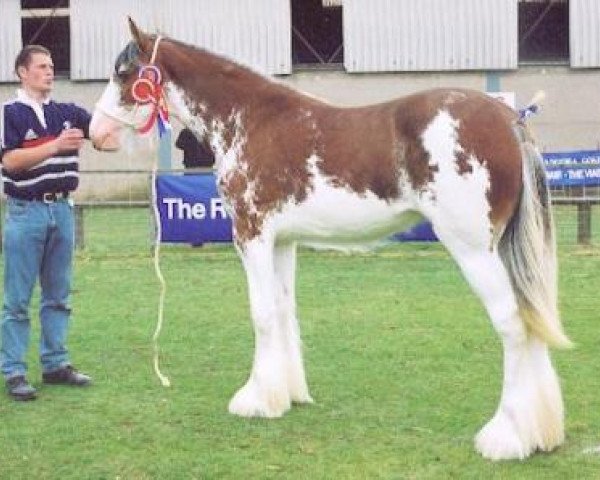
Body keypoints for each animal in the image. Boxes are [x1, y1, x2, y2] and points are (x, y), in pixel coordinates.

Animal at [90, 19, 572, 462]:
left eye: (123, 72)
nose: (97, 133)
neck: (250, 120)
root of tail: (510, 119)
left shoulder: (252, 234)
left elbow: (262, 314)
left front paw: (254, 400)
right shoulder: (283, 241)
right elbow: (284, 311)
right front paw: (285, 395)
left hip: (473, 249)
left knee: (512, 325)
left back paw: (505, 438)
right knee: (532, 321)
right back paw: (539, 434)